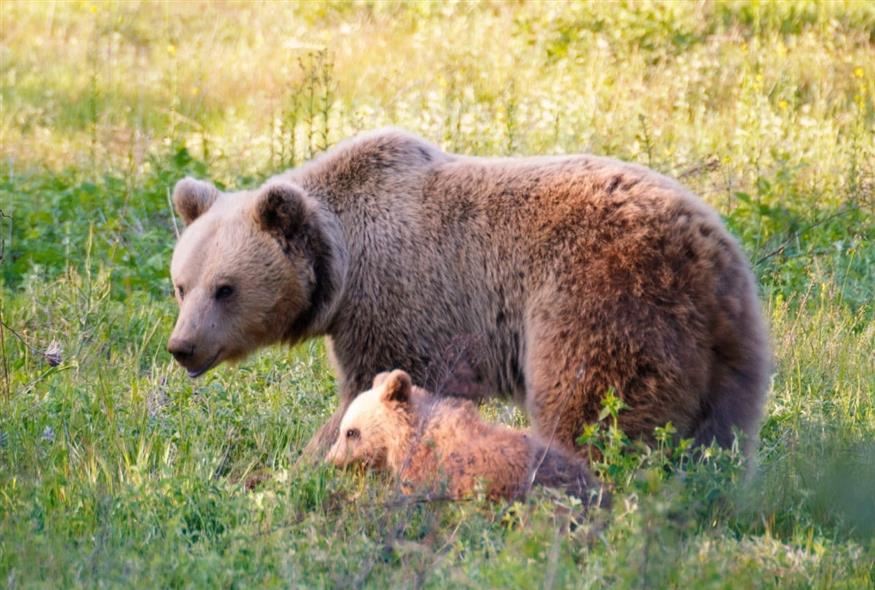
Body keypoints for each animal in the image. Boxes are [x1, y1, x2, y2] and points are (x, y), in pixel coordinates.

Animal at [168, 128, 768, 458]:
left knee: (593, 408)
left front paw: (305, 466)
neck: (343, 264)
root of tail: (701, 250)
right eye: (181, 286)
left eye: (225, 289)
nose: (182, 347)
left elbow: (375, 387)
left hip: (600, 297)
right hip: (728, 344)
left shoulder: (399, 299)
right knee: (722, 437)